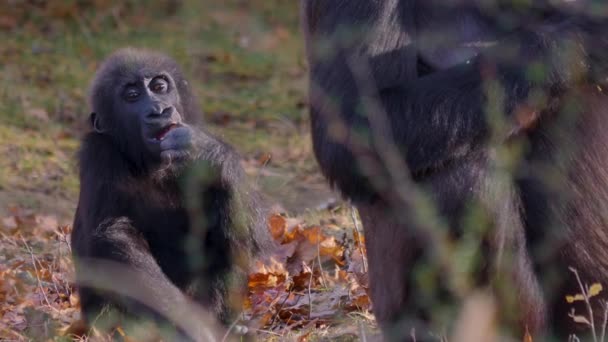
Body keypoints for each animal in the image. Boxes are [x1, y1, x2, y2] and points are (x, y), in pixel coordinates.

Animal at [70, 48, 272, 340]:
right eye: (132, 96)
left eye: (159, 87)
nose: (159, 110)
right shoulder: (98, 152)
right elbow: (114, 235)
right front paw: (193, 326)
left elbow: (246, 228)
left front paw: (207, 151)